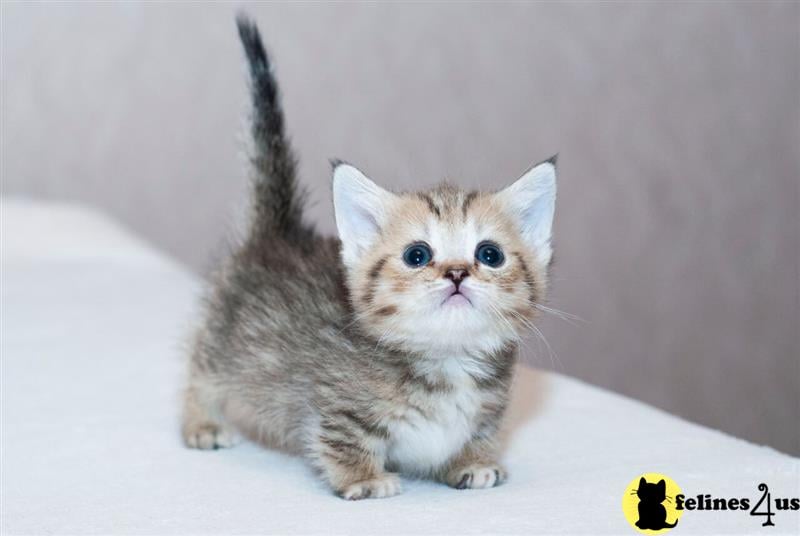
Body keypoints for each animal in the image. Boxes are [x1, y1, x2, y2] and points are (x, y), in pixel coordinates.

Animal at [181, 15, 556, 502]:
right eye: (417, 255)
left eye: (489, 254)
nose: (456, 273)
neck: (447, 359)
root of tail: (279, 231)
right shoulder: (335, 404)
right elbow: (343, 439)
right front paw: (364, 479)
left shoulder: (488, 410)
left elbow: (479, 435)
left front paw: (474, 464)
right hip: (222, 344)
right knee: (199, 372)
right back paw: (202, 422)